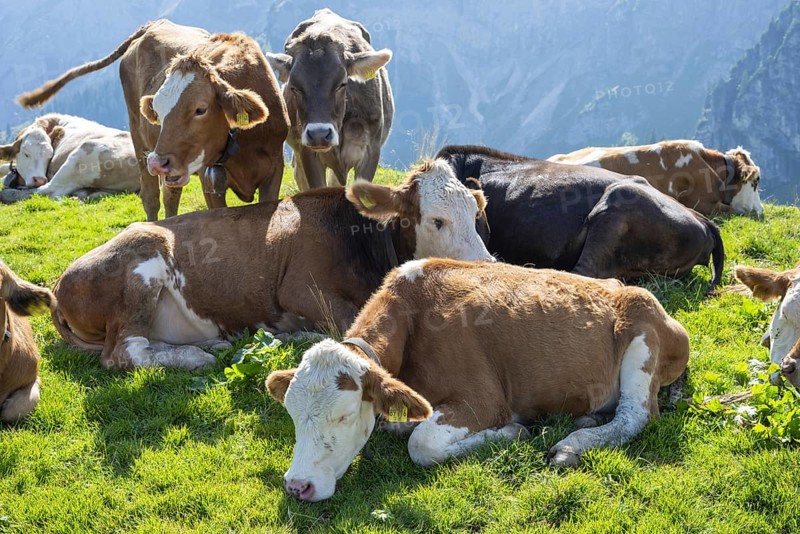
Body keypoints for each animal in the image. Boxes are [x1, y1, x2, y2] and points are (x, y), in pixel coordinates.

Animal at [0, 113, 139, 201]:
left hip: (83, 154)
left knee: (49, 191)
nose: (39, 180)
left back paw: (7, 193)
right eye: (26, 153)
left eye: (49, 156)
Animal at [17, 19, 289, 221]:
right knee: (152, 198)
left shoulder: (274, 168)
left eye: (200, 109)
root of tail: (155, 24)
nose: (158, 163)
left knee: (171, 195)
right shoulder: (209, 179)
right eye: (157, 110)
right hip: (138, 137)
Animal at [51, 160, 493, 370]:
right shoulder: (299, 288)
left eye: (475, 213)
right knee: (124, 352)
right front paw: (293, 334)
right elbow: (344, 324)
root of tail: (58, 285)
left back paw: (213, 343)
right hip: (141, 266)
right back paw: (195, 357)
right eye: (436, 220)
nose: (488, 266)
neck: (357, 240)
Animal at [266, 259, 690, 501]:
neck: (413, 316)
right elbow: (402, 424)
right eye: (291, 415)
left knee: (636, 415)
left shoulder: (482, 400)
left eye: (344, 415)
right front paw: (398, 425)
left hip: (641, 332)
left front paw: (512, 431)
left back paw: (572, 444)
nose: (297, 485)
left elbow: (423, 445)